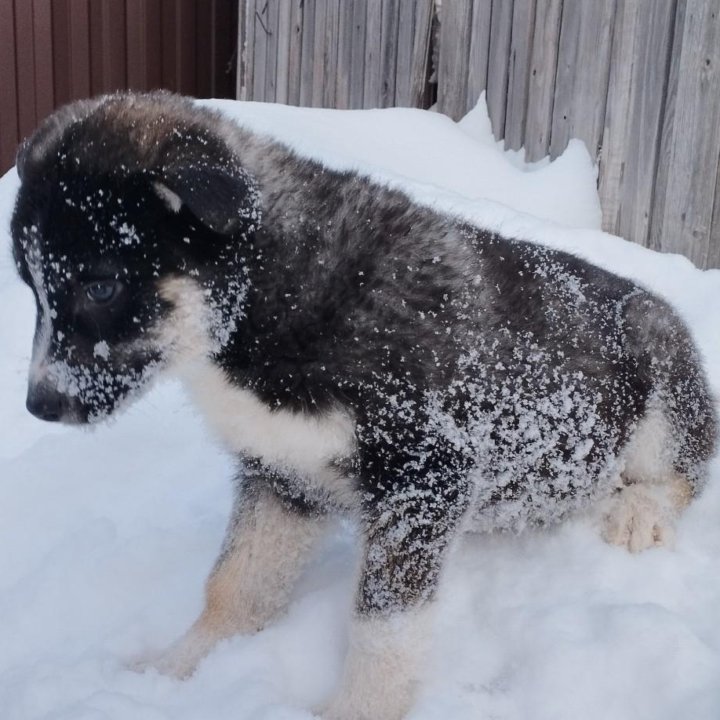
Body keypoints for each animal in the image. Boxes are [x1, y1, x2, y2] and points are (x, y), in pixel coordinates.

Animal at [11, 91, 720, 720]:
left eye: (101, 286)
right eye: (32, 287)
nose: (38, 406)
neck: (271, 299)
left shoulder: (426, 473)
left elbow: (382, 626)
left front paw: (357, 710)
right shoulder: (282, 472)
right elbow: (235, 584)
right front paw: (177, 668)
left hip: (662, 380)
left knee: (683, 473)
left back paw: (638, 513)